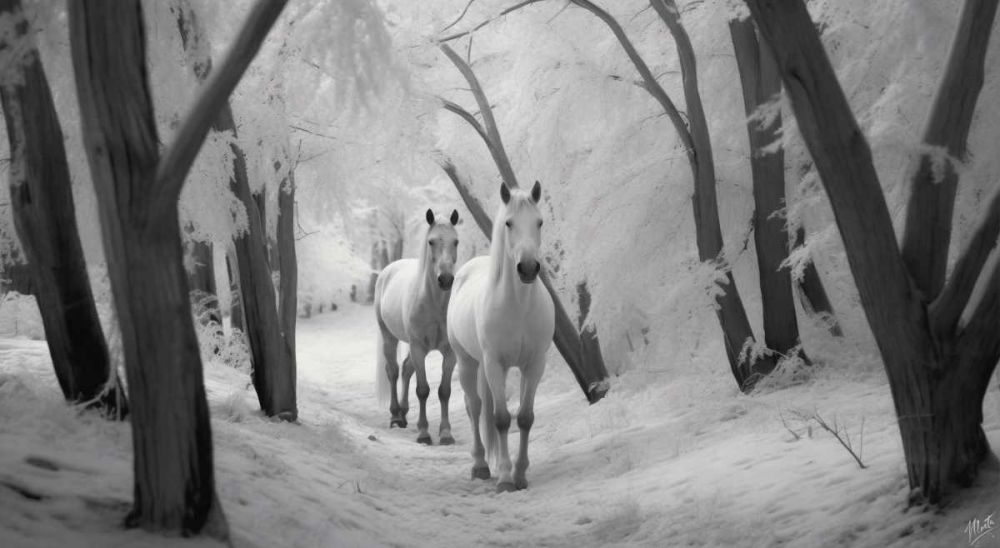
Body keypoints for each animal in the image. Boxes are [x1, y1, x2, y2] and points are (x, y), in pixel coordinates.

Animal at [374, 208, 461, 445]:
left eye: (456, 241)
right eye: (431, 241)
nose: (445, 279)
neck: (434, 304)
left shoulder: (449, 353)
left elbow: (444, 391)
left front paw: (446, 433)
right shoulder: (419, 348)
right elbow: (422, 390)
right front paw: (424, 434)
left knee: (406, 369)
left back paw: (403, 414)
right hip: (390, 337)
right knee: (393, 371)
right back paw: (395, 416)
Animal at [447, 181, 555, 492]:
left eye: (539, 222)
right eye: (509, 223)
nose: (528, 268)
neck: (518, 307)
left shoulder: (534, 365)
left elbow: (525, 418)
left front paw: (520, 475)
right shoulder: (494, 364)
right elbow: (501, 419)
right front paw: (505, 478)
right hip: (468, 363)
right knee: (475, 407)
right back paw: (481, 465)